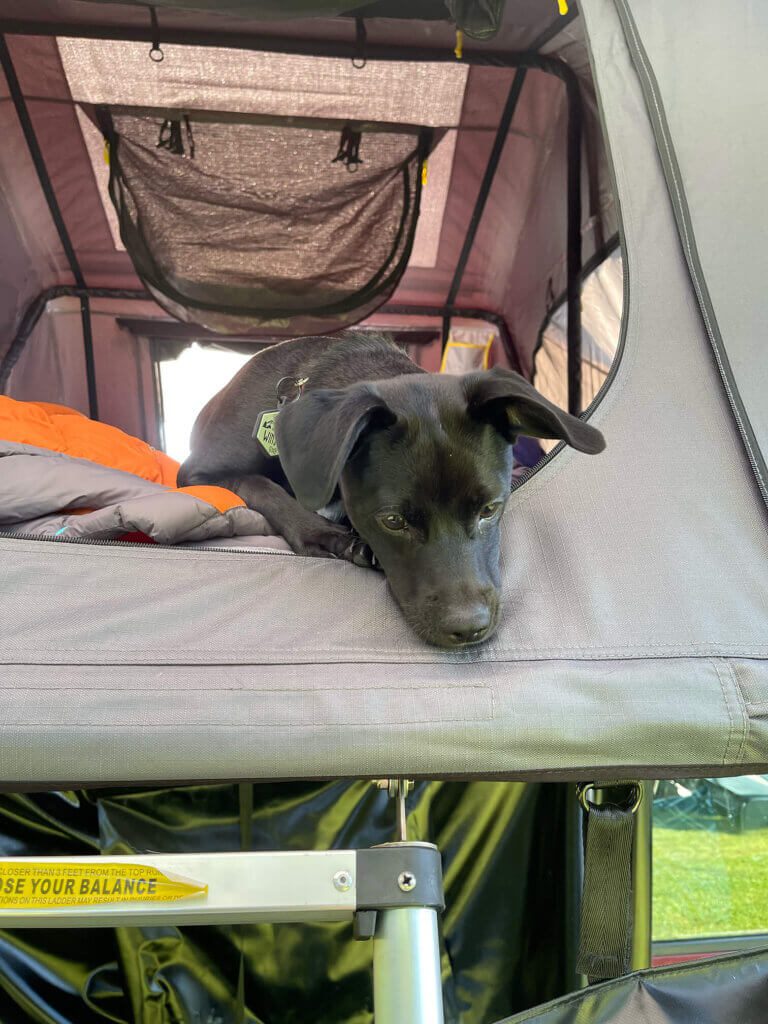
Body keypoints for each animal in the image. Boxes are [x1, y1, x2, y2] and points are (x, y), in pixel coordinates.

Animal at [177, 331, 606, 643]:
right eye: (394, 521)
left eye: (490, 509)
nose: (469, 630)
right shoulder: (195, 474)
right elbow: (263, 487)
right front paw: (329, 536)